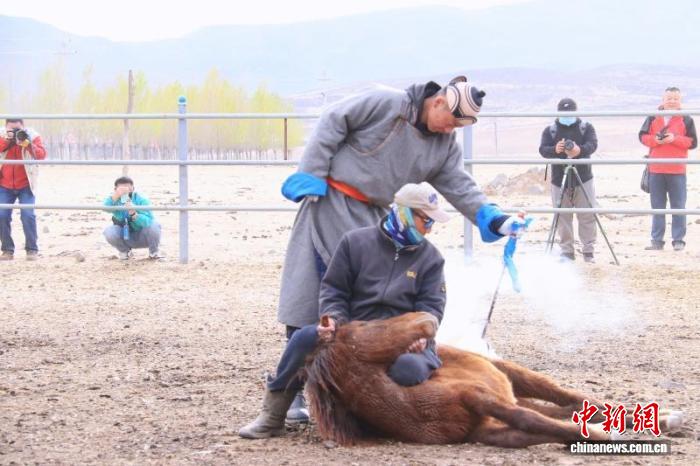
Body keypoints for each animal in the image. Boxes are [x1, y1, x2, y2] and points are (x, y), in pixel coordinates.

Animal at [304, 312, 682, 447]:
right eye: (364, 325)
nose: (425, 318)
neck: (415, 407)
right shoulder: (485, 429)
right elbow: (537, 429)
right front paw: (599, 435)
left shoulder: (480, 398)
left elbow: (533, 419)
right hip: (509, 391)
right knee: (563, 410)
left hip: (508, 373)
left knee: (570, 398)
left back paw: (667, 418)